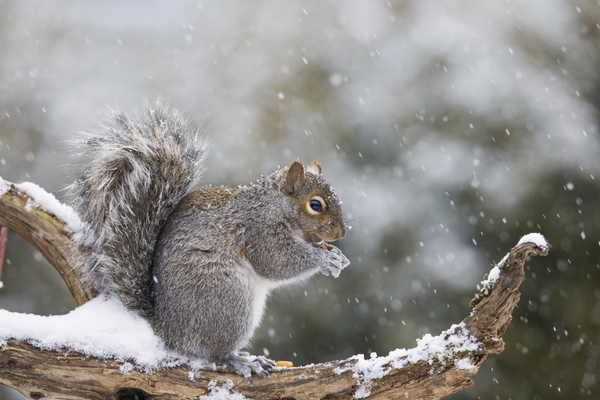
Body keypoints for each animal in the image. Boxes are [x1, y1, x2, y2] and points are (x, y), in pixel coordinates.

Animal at [69, 100, 352, 378]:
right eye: (315, 205)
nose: (341, 233)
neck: (274, 206)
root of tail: (167, 330)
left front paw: (336, 255)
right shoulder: (258, 231)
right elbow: (277, 263)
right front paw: (324, 259)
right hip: (228, 300)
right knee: (215, 354)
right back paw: (243, 362)